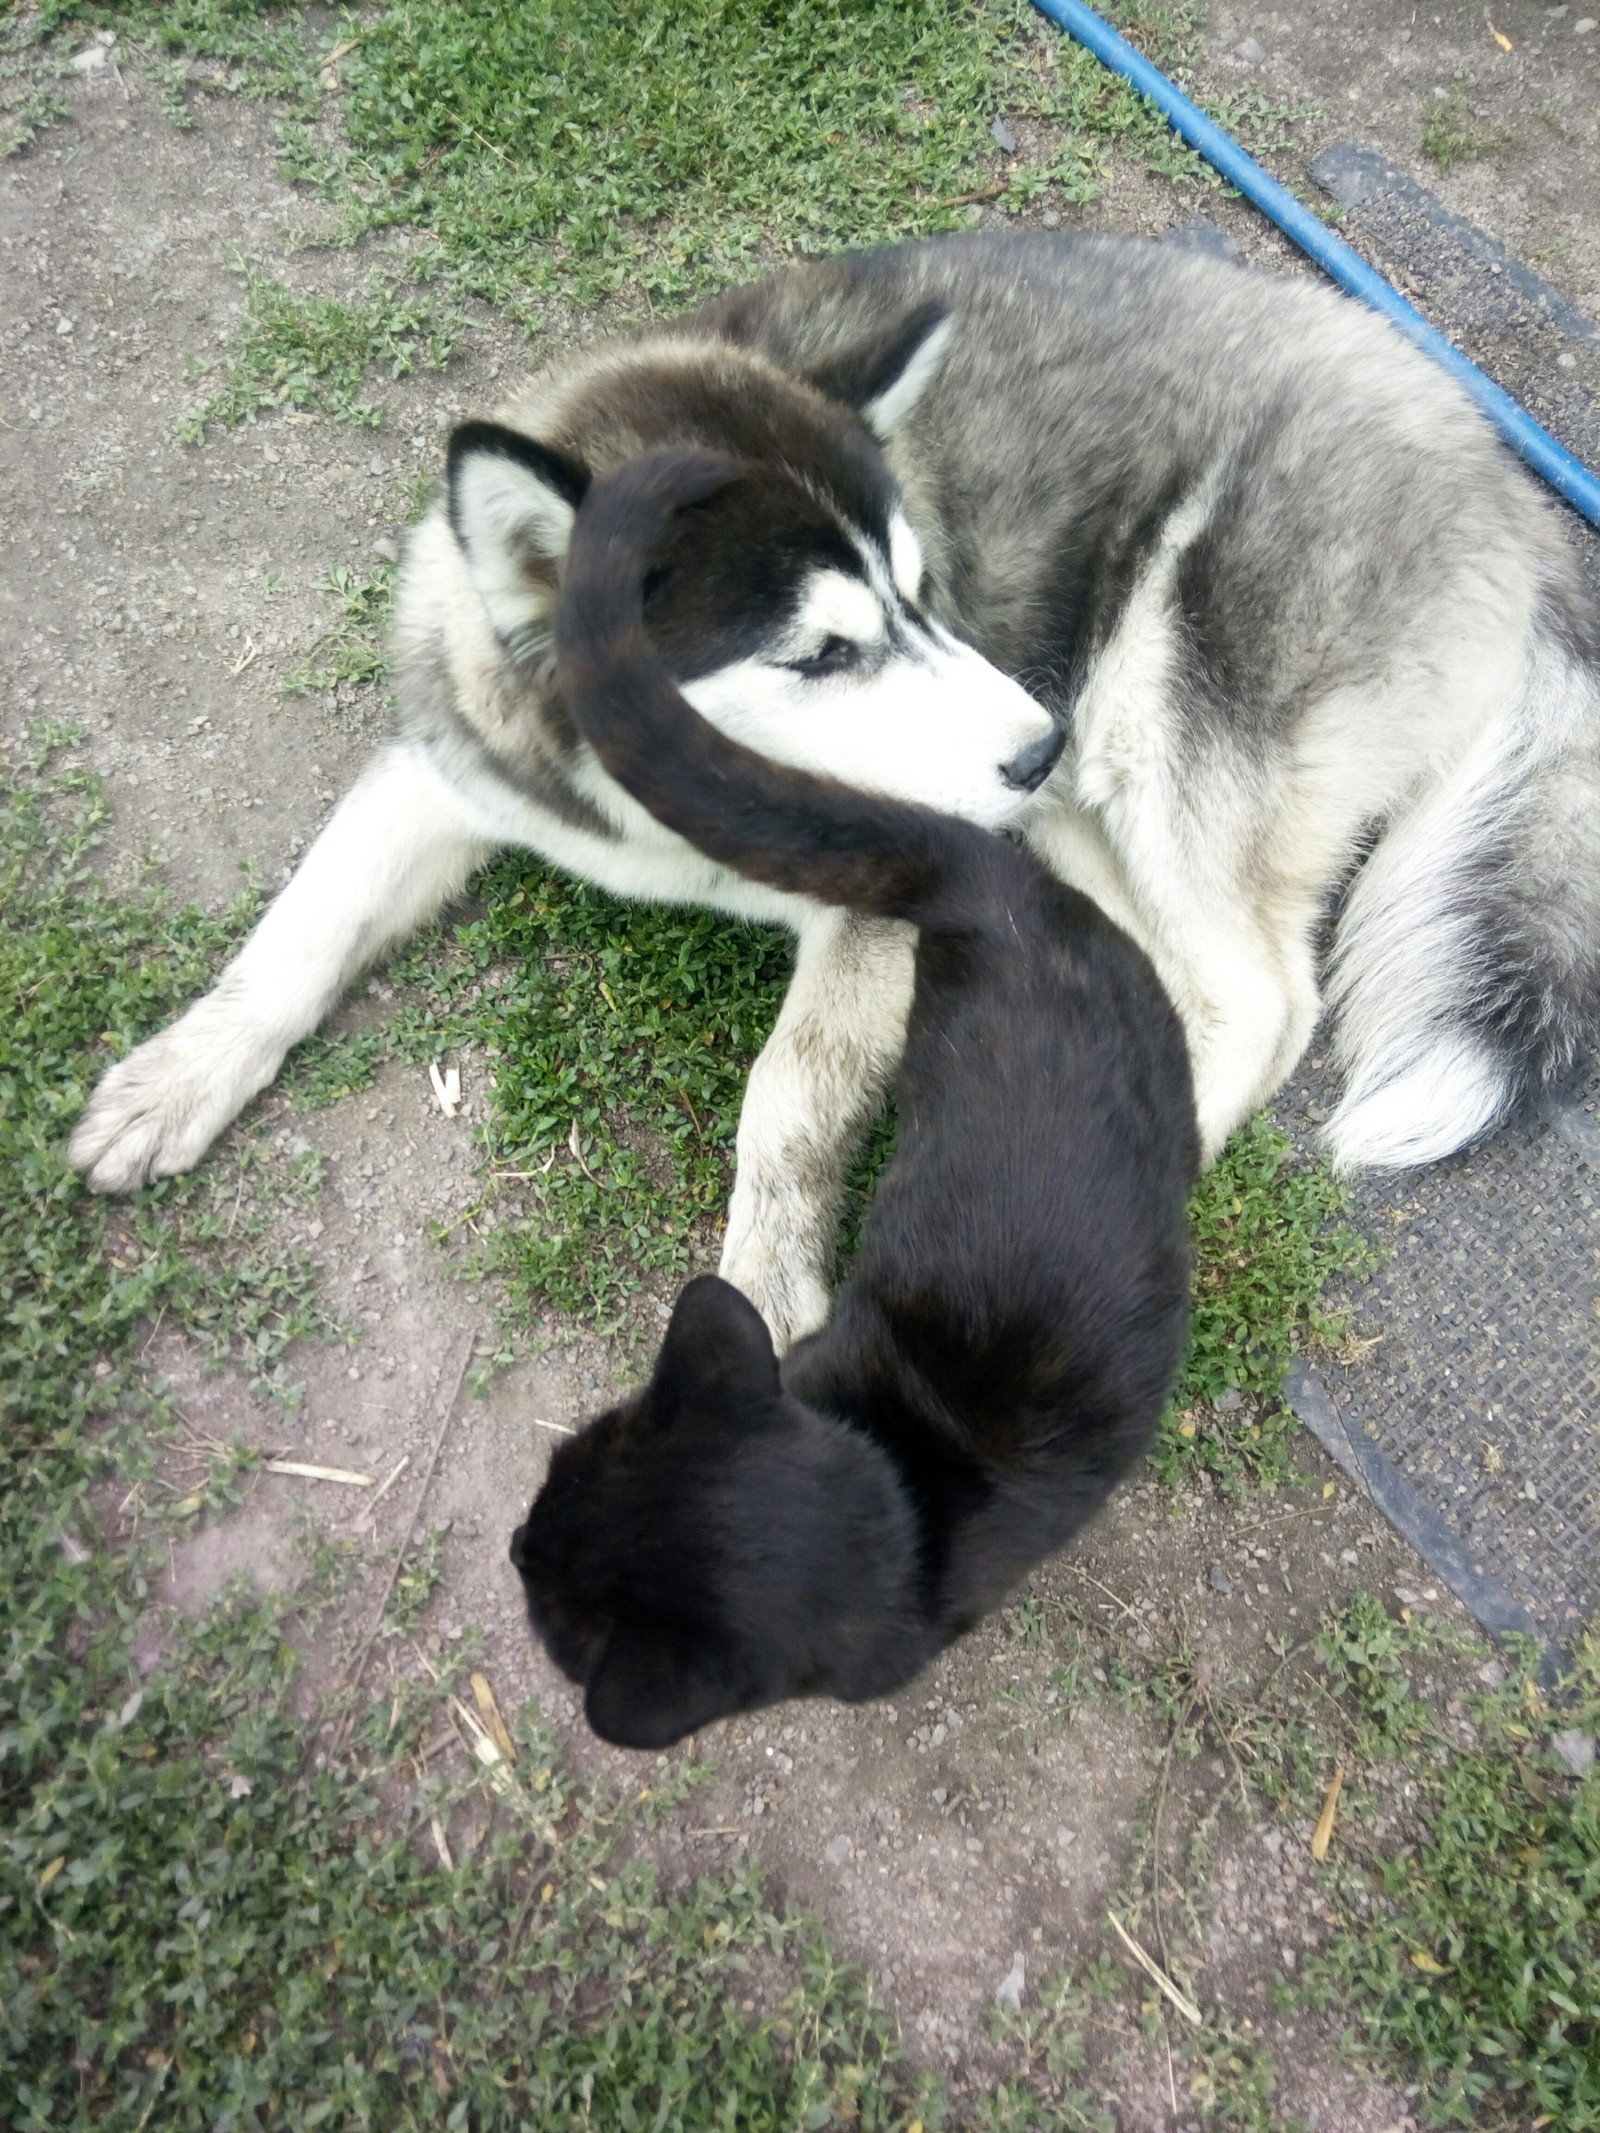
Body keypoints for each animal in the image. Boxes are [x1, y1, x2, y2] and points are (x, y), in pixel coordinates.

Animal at [75, 225, 1600, 1339]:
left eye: (925, 591)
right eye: (822, 650)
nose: (1032, 744)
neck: (672, 815)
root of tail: (1503, 470)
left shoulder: (904, 885)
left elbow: (789, 1099)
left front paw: (756, 1287)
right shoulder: (455, 767)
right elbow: (301, 926)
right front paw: (177, 1075)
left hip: (1160, 712)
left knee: (1266, 1000)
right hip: (1084, 807)